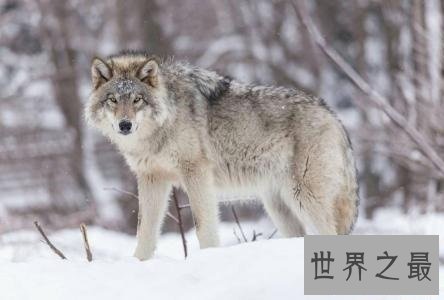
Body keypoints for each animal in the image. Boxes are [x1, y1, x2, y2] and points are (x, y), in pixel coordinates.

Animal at [85, 50, 360, 258]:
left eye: (137, 100)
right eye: (113, 100)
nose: (125, 125)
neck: (162, 125)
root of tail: (333, 115)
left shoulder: (196, 172)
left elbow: (203, 226)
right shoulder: (151, 178)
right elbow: (145, 231)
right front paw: (139, 263)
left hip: (304, 198)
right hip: (279, 207)